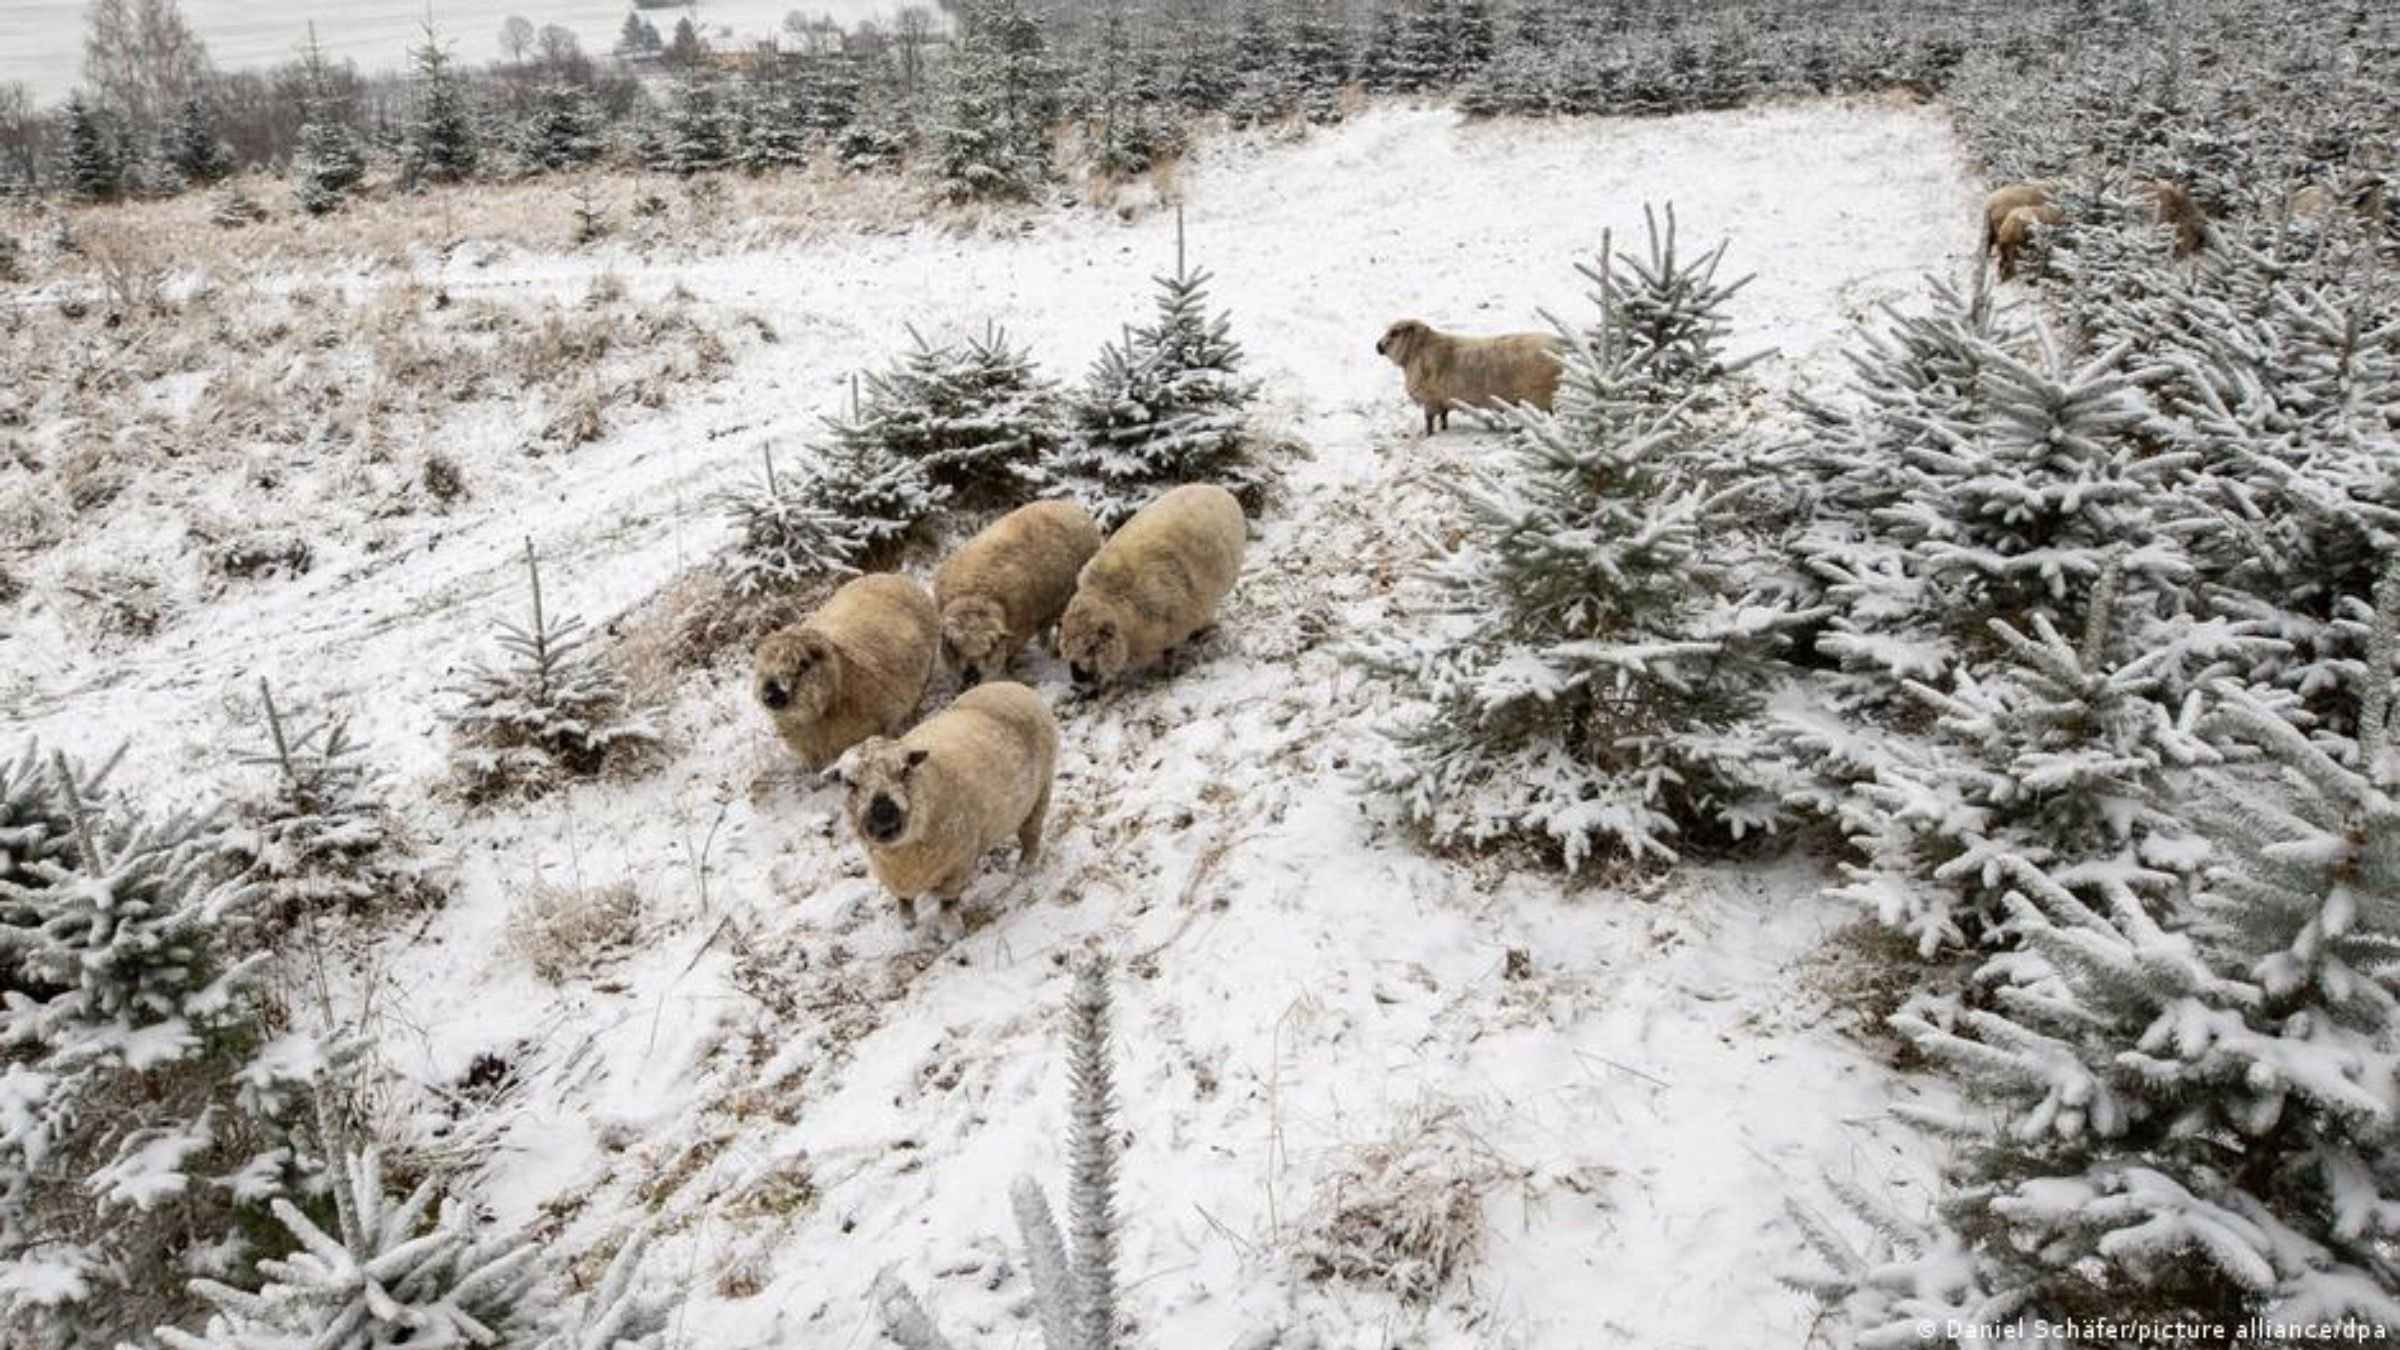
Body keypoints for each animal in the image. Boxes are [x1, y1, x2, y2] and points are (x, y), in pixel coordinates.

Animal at [841, 680, 1060, 931]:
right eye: (849, 782)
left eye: (905, 770)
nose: (884, 819)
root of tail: (1012, 686)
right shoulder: (894, 877)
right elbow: (904, 901)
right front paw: (907, 922)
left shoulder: (957, 866)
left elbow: (947, 904)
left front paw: (952, 930)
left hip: (1040, 794)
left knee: (1030, 837)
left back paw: (1024, 869)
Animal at [934, 499, 1104, 687]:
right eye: (953, 646)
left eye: (991, 647)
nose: (971, 678)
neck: (975, 594)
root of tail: (1068, 504)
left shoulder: (1021, 629)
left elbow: (1009, 656)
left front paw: (1010, 672)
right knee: (1046, 626)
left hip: (1070, 596)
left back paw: (1054, 650)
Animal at [1058, 483, 1246, 688]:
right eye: (1066, 647)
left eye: (1092, 646)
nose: (1078, 678)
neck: (1112, 594)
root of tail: (1213, 487)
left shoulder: (1174, 625)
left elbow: (1170, 654)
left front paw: (1169, 672)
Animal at [1375, 319, 1564, 434]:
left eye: (1395, 332)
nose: (1377, 346)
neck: (1415, 354)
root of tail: (1559, 347)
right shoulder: (1443, 400)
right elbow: (1443, 417)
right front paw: (1444, 429)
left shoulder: (1431, 400)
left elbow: (1429, 421)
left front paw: (1429, 435)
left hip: (1539, 395)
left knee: (1547, 417)